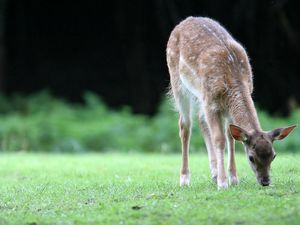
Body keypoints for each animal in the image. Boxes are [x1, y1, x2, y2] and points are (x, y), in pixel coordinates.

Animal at [166, 16, 296, 189]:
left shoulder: (224, 107)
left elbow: (231, 137)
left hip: (199, 95)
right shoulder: (211, 102)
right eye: (251, 157)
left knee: (201, 119)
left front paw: (233, 178)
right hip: (178, 82)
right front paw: (223, 183)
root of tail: (185, 21)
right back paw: (185, 179)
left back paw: (213, 173)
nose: (265, 181)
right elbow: (219, 139)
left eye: (274, 156)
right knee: (185, 125)